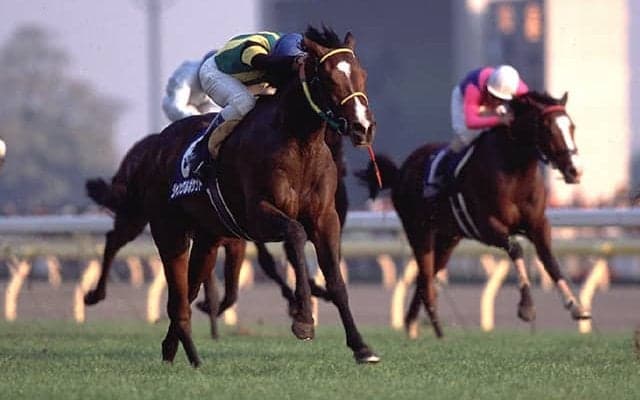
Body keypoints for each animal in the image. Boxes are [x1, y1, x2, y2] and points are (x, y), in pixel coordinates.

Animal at [86, 26, 379, 366]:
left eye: (362, 74)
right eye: (329, 77)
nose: (363, 127)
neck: (299, 143)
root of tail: (156, 144)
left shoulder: (325, 218)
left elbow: (336, 280)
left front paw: (361, 346)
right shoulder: (258, 215)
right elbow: (295, 235)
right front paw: (303, 320)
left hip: (206, 238)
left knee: (188, 292)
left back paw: (173, 349)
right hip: (165, 228)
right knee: (164, 284)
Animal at [357, 91, 589, 338]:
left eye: (571, 126)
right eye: (548, 128)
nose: (575, 170)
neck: (515, 172)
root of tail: (401, 171)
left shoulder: (539, 225)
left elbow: (549, 259)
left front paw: (576, 306)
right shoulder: (487, 226)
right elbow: (516, 248)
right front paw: (526, 307)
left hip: (448, 238)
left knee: (424, 278)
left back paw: (414, 326)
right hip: (418, 231)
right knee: (426, 278)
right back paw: (436, 333)